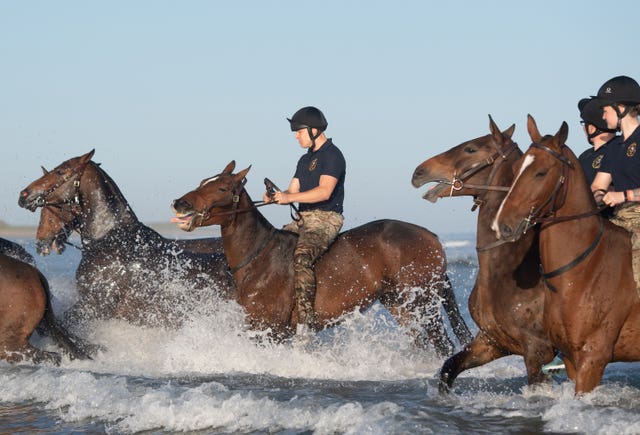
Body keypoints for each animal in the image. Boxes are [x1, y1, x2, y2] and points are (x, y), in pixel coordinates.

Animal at [172, 161, 472, 358]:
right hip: (401, 305)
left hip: (424, 304)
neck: (259, 258)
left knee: (443, 345)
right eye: (203, 181)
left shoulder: (271, 329)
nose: (179, 203)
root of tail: (431, 236)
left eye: (222, 188)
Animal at [492, 115, 640, 396]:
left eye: (541, 172)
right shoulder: (572, 359)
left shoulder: (593, 358)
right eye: (516, 170)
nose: (501, 226)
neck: (584, 269)